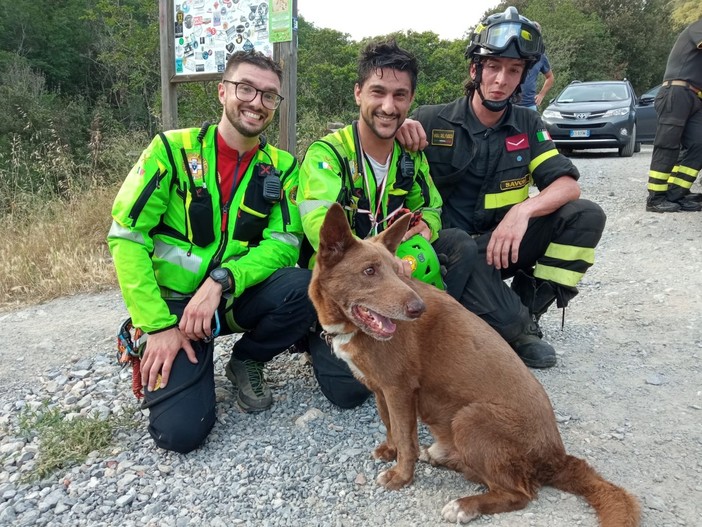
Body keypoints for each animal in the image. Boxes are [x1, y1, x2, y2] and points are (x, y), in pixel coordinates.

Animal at [310, 204, 640, 524]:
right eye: (369, 271)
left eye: (396, 271)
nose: (418, 309)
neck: (351, 326)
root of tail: (556, 458)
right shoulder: (381, 389)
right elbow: (390, 425)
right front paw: (390, 451)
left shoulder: (399, 390)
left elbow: (405, 437)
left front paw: (401, 476)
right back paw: (441, 457)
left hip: (470, 418)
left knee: (519, 493)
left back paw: (464, 506)